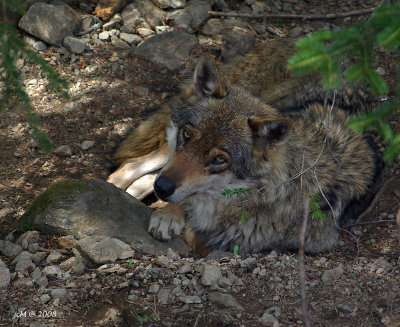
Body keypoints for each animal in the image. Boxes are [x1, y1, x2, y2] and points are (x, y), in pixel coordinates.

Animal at [108, 38, 382, 254]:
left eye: (220, 159)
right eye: (187, 134)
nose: (163, 188)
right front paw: (168, 214)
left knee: (144, 177)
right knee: (133, 165)